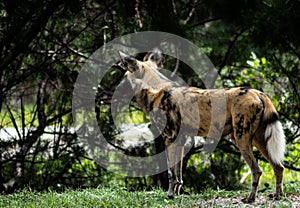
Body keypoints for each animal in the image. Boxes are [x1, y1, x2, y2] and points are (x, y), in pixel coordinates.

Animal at [118, 49, 286, 203]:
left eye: (124, 77)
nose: (116, 89)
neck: (156, 90)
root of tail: (258, 93)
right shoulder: (180, 141)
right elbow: (178, 174)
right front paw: (177, 194)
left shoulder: (169, 139)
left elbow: (171, 174)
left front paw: (170, 195)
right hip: (259, 141)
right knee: (278, 167)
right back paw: (277, 196)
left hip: (241, 139)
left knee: (256, 170)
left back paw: (250, 198)